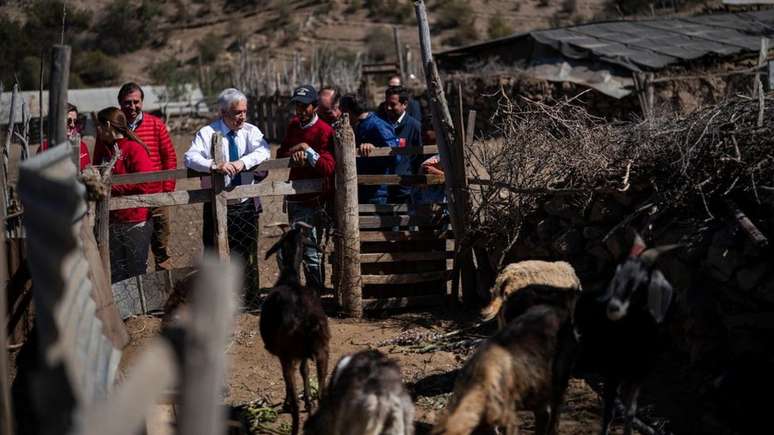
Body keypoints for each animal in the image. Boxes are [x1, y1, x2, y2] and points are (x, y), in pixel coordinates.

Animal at [262, 223, 332, 435]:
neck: (289, 277)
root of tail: (308, 318)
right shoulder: (304, 355)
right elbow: (306, 371)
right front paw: (308, 403)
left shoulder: (286, 355)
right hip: (322, 351)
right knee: (322, 393)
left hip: (287, 355)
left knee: (294, 404)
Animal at [576, 235, 680, 435]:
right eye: (616, 277)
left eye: (641, 282)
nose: (613, 308)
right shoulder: (612, 372)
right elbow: (608, 411)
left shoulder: (638, 375)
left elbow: (630, 412)